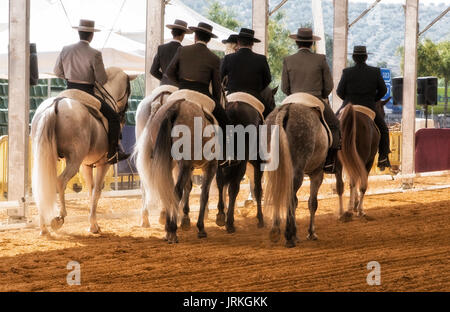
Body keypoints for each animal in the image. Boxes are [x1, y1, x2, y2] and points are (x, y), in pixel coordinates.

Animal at [31, 67, 135, 234]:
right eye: (129, 90)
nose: (123, 117)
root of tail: (56, 104)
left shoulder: (86, 165)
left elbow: (90, 190)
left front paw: (93, 223)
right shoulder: (103, 164)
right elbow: (96, 191)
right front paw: (93, 225)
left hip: (46, 156)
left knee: (42, 184)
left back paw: (43, 226)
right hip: (73, 160)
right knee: (60, 181)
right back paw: (59, 217)